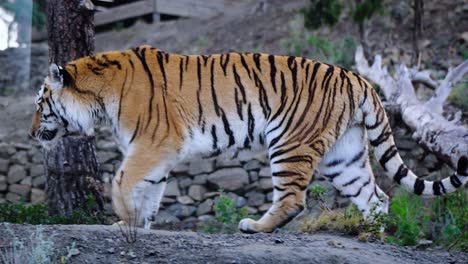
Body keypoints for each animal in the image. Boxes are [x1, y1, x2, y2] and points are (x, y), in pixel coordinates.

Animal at [31, 45, 466, 233]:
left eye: (40, 103)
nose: (33, 132)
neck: (99, 96)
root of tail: (358, 78)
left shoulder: (152, 144)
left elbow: (123, 181)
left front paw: (122, 220)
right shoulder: (156, 152)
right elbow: (150, 190)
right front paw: (140, 223)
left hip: (289, 143)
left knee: (292, 199)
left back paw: (256, 226)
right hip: (343, 156)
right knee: (375, 196)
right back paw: (371, 233)